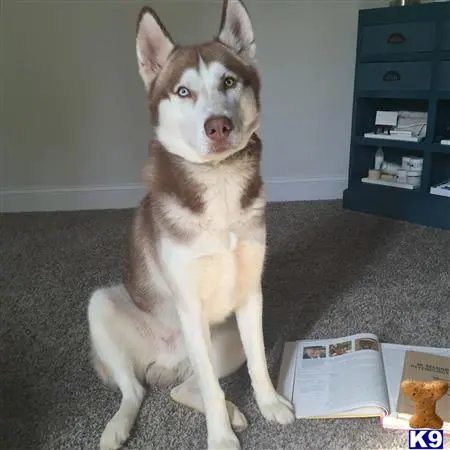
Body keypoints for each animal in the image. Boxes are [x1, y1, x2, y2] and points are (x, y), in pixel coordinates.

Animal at [88, 0, 296, 448]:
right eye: (183, 91)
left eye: (229, 81)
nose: (218, 125)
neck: (218, 183)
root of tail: (166, 363)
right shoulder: (189, 304)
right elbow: (211, 390)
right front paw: (220, 438)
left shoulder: (251, 295)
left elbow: (258, 364)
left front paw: (269, 404)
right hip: (104, 305)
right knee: (137, 390)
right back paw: (118, 426)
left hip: (226, 336)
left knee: (186, 387)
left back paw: (233, 411)